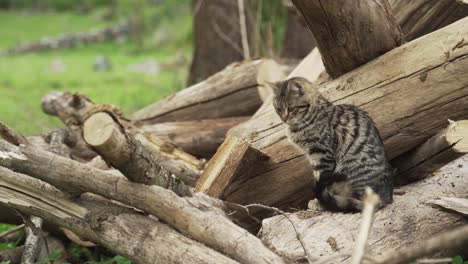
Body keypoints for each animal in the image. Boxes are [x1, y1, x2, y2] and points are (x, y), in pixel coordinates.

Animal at [270, 77, 394, 212]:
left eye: (291, 108)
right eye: (278, 109)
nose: (284, 119)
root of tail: (385, 197)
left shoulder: (321, 154)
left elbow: (320, 177)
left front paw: (319, 202)